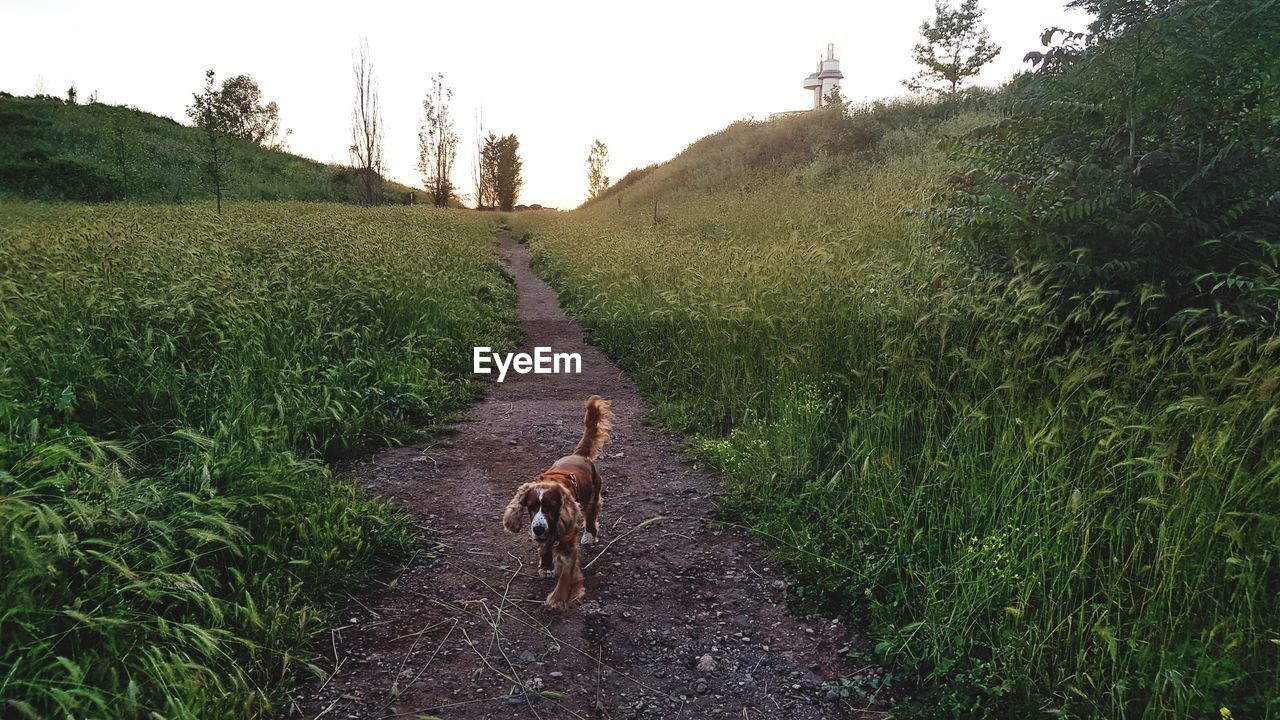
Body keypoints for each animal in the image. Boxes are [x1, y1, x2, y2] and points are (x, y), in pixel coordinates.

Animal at [501, 394, 611, 607]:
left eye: (552, 507)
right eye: (531, 507)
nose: (537, 529)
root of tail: (579, 454)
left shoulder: (568, 538)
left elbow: (567, 571)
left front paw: (558, 598)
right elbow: (545, 549)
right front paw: (546, 567)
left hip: (593, 496)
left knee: (592, 515)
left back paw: (589, 535)